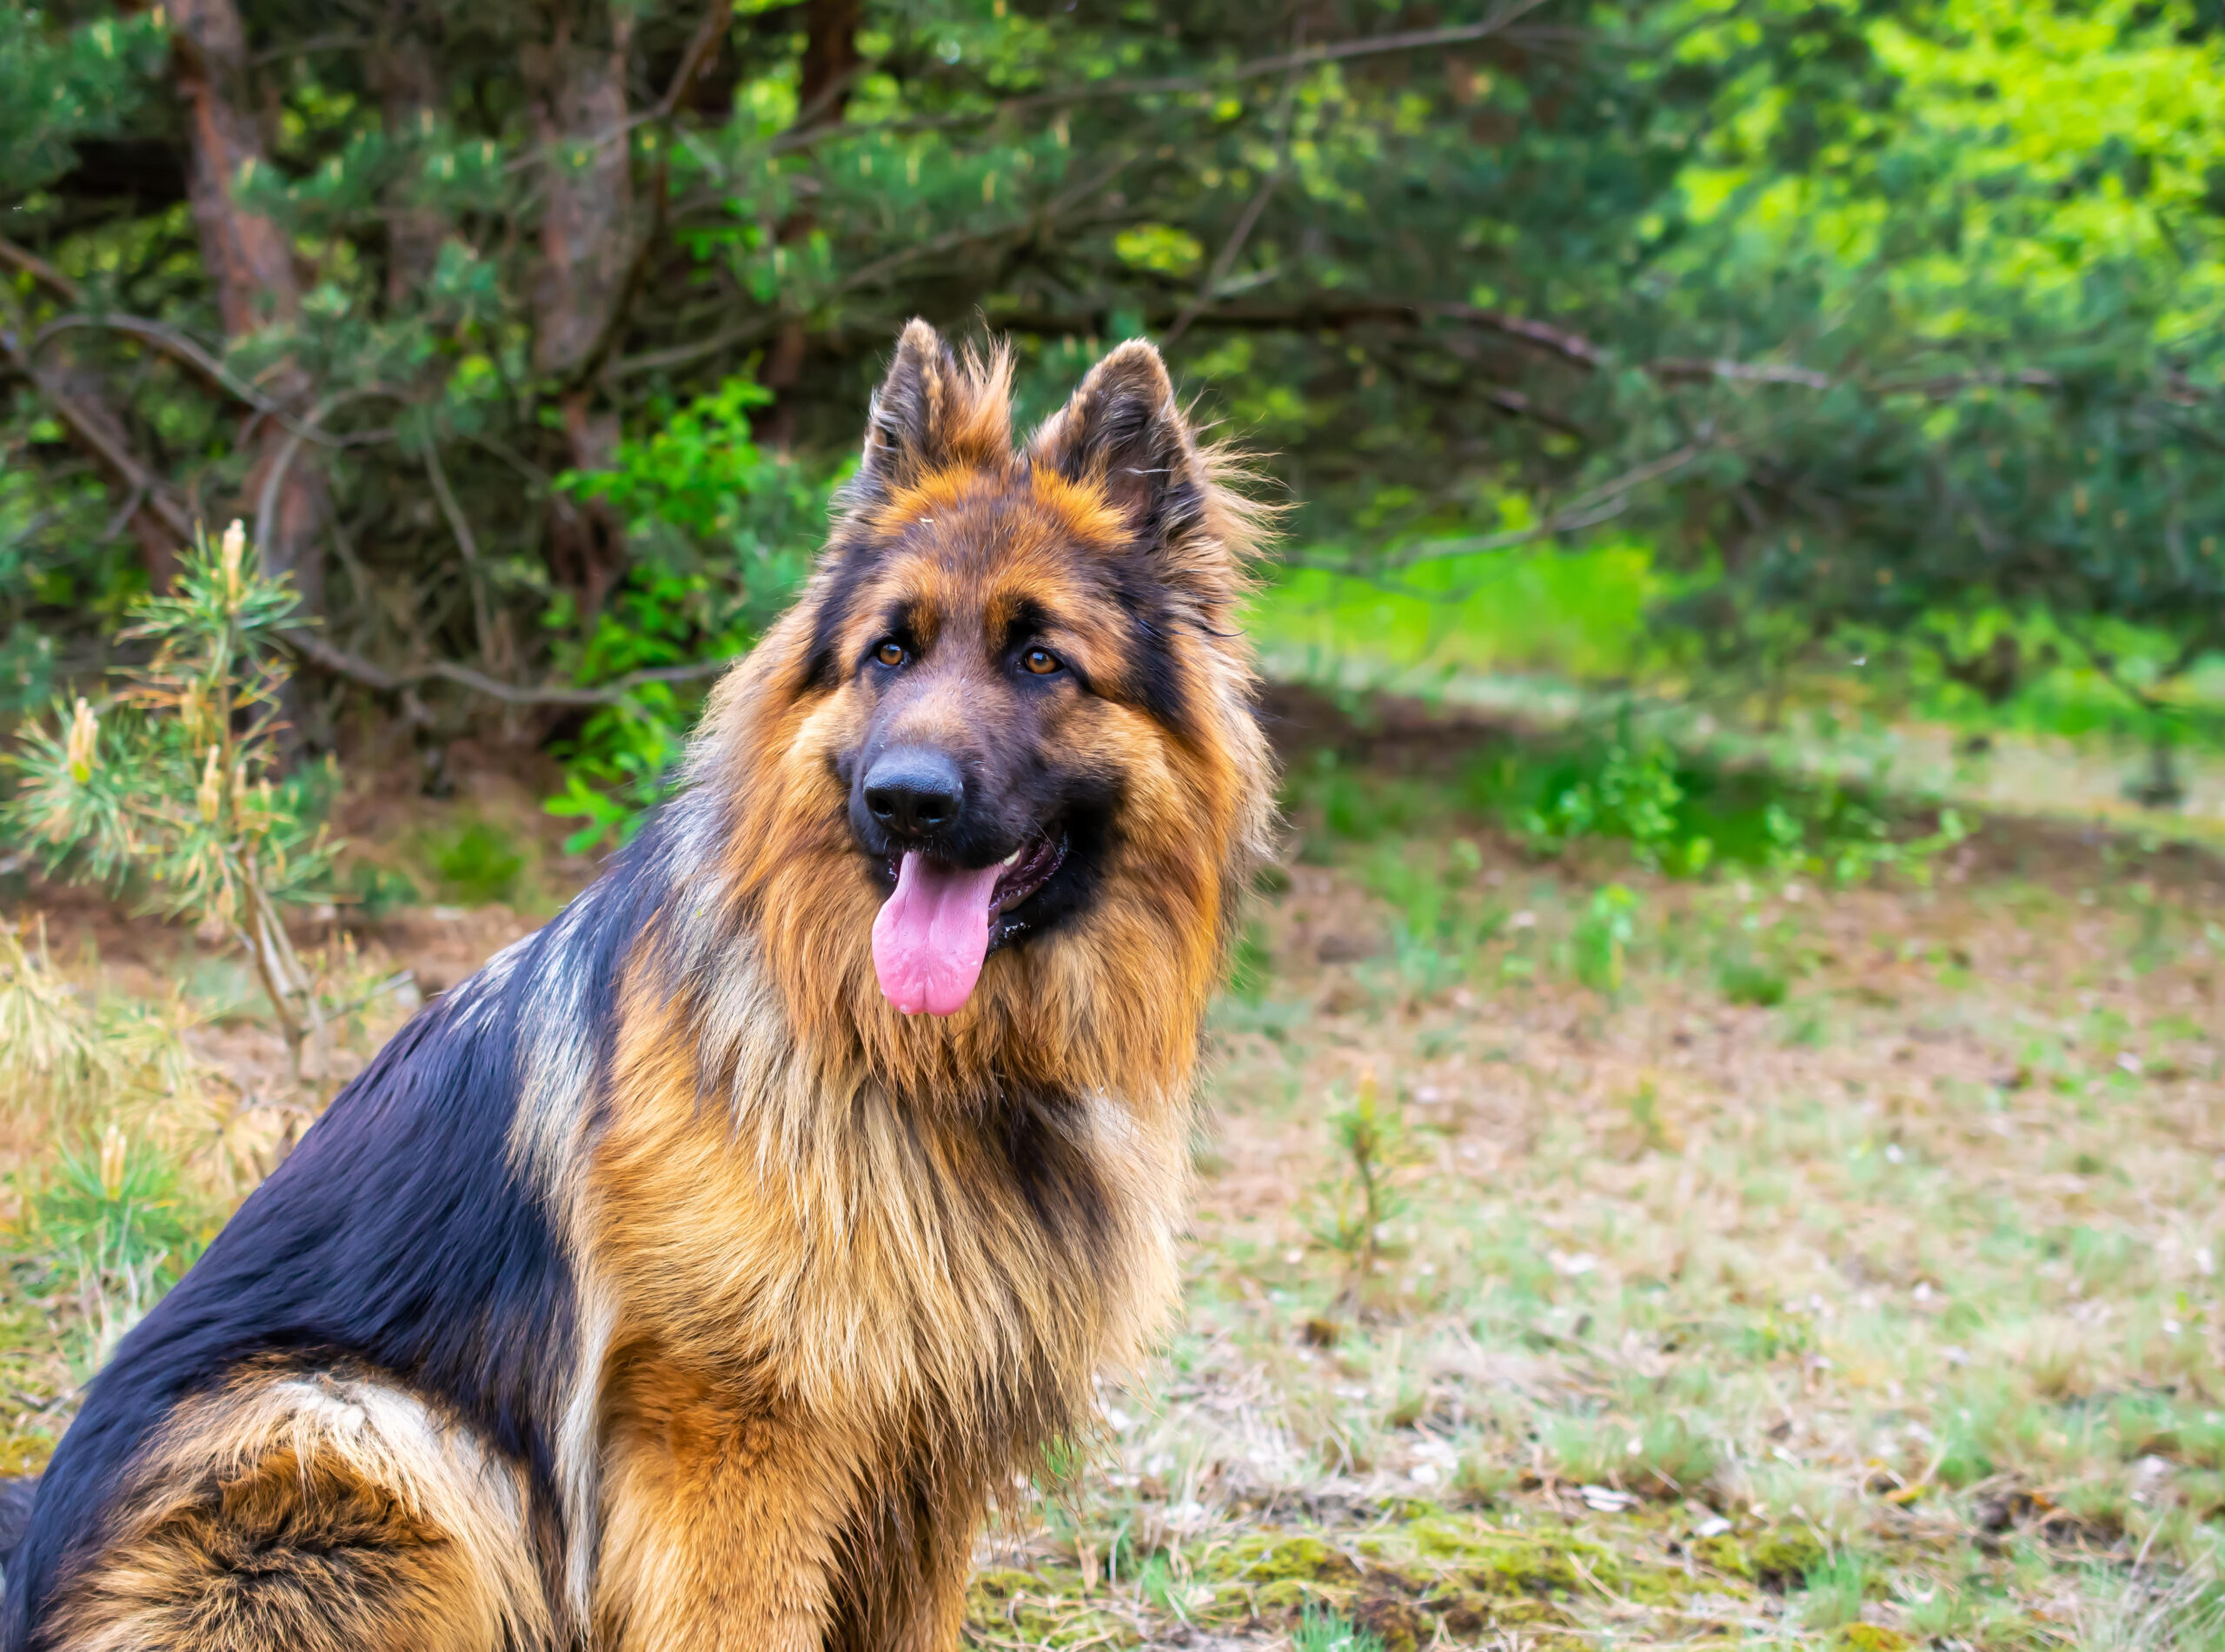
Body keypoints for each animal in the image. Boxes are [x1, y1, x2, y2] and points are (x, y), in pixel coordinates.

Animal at [0, 322, 1272, 1652]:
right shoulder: (734, 1435)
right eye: (891, 651)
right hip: (357, 1431)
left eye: (1040, 659)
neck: (926, 1064)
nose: (906, 800)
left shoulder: (926, 1469)